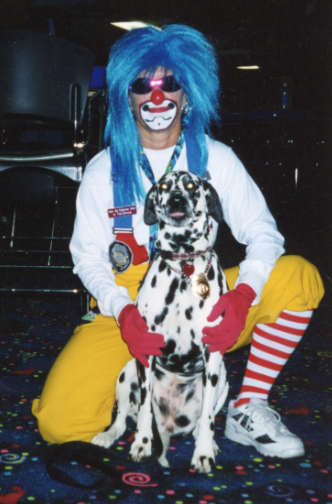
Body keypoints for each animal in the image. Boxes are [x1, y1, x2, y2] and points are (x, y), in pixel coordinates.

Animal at [92, 172, 230, 472]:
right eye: (164, 186)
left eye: (191, 185)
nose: (176, 199)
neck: (184, 265)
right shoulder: (146, 349)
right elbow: (144, 409)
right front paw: (142, 443)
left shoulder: (212, 352)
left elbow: (207, 419)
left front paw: (203, 452)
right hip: (127, 373)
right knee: (122, 417)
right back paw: (108, 435)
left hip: (223, 378)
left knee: (203, 420)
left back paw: (208, 442)